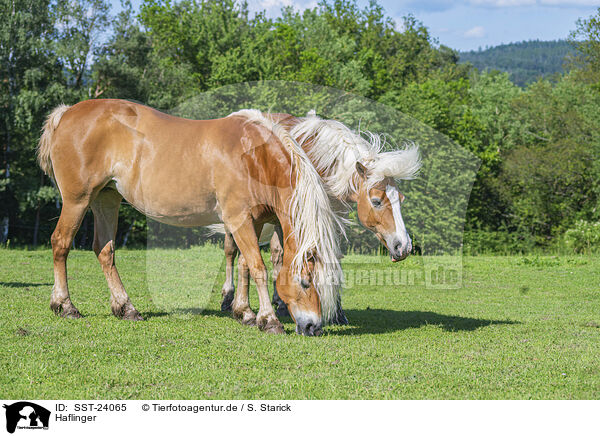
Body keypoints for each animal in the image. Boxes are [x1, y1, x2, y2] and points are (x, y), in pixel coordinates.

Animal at [37, 99, 344, 338]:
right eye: (305, 282)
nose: (314, 327)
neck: (256, 157)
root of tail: (67, 112)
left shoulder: (253, 221)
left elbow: (245, 264)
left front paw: (244, 312)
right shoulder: (238, 219)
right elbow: (258, 267)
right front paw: (268, 320)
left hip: (106, 199)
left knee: (104, 251)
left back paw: (126, 308)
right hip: (77, 200)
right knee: (61, 243)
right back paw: (65, 305)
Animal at [217, 109, 422, 320]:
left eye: (401, 199)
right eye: (376, 201)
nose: (404, 246)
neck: (323, 165)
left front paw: (337, 312)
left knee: (276, 254)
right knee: (231, 250)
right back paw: (229, 297)